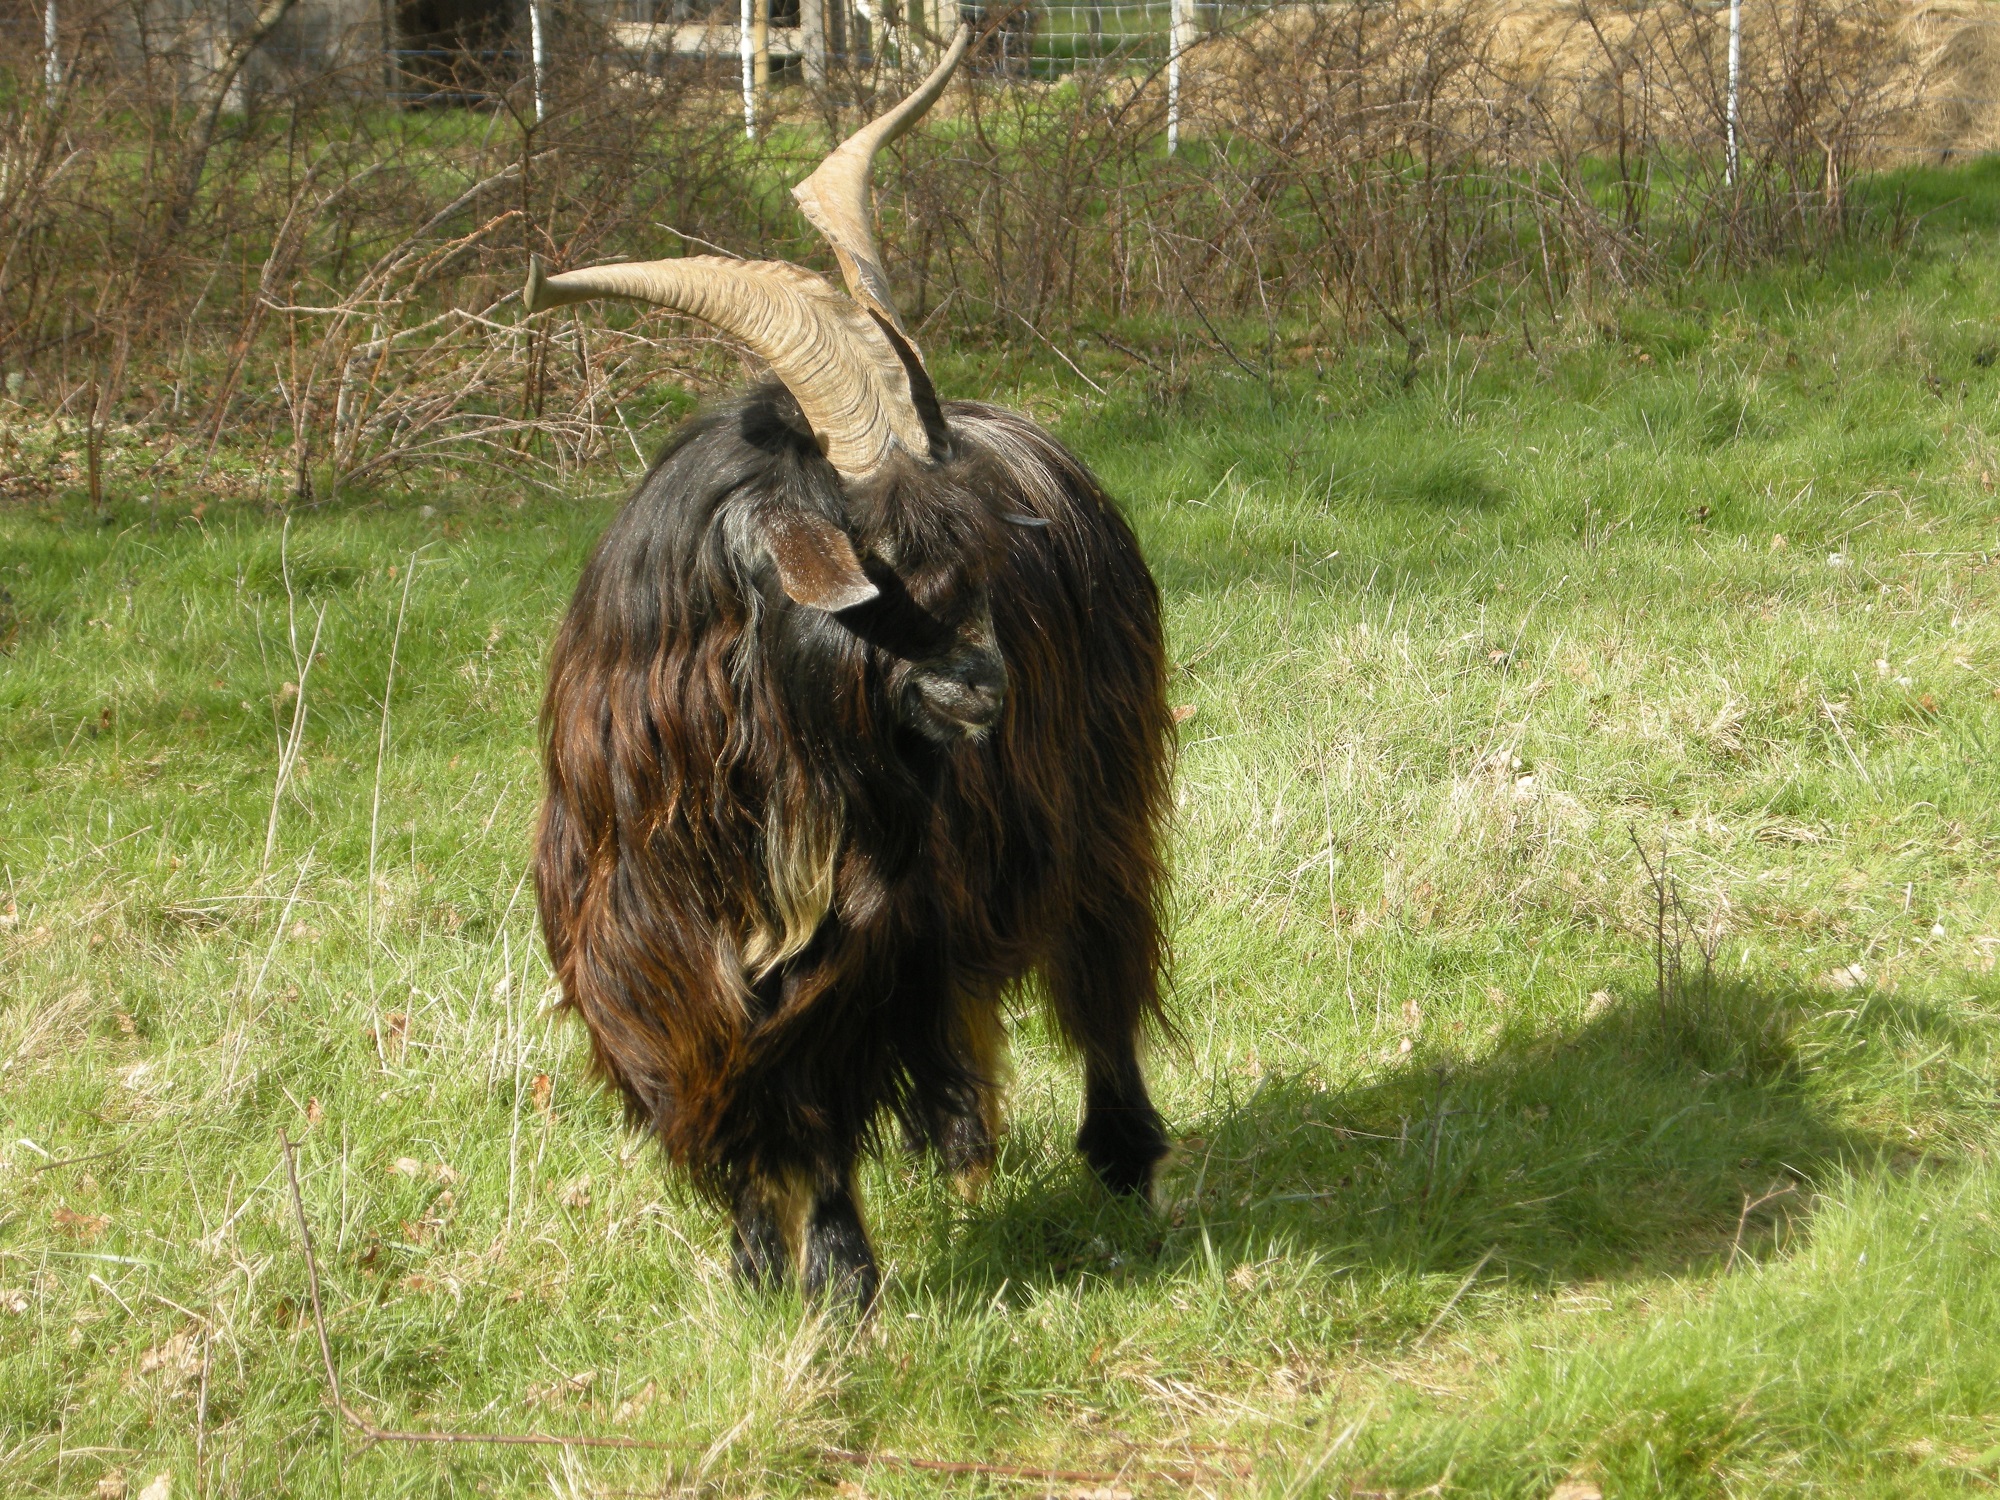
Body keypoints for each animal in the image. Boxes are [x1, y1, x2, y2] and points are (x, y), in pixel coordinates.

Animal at [524, 26, 1173, 1307]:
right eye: (868, 557)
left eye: (968, 547)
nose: (983, 690)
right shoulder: (642, 958)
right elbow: (728, 1108)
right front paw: (753, 1267)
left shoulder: (860, 948)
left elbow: (815, 1102)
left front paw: (836, 1279)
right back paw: (953, 1140)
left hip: (1098, 801)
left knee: (1100, 964)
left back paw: (1121, 1155)